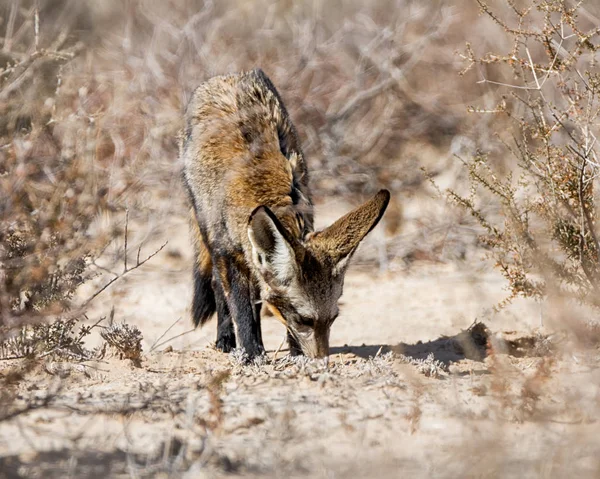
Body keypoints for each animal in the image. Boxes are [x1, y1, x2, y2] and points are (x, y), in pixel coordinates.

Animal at [180, 67, 392, 360]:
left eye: (333, 319)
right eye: (305, 320)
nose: (321, 361)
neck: (262, 186)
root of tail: (230, 75)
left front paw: (294, 354)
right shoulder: (229, 254)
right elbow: (241, 309)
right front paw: (251, 354)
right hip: (208, 232)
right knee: (218, 289)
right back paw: (225, 339)